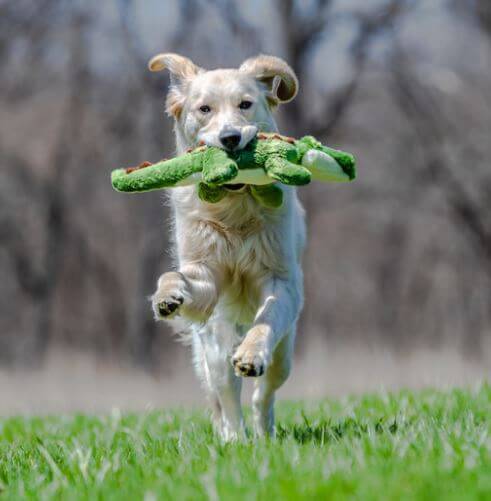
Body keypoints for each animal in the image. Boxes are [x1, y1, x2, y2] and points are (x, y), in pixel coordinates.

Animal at [148, 52, 306, 440]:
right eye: (204, 109)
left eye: (245, 105)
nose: (230, 138)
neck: (234, 209)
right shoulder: (205, 276)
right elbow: (177, 277)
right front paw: (167, 297)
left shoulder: (281, 281)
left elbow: (266, 321)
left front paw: (251, 355)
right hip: (214, 339)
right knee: (224, 392)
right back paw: (233, 439)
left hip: (285, 355)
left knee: (264, 394)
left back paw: (263, 433)